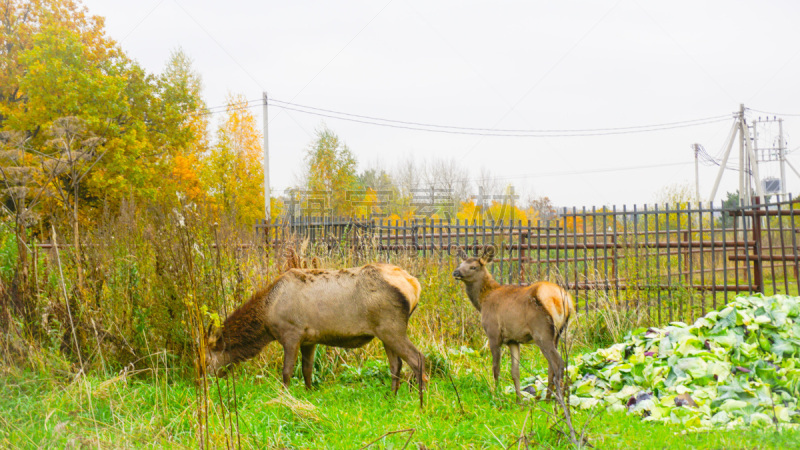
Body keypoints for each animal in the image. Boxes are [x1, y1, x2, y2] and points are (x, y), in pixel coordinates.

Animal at [209, 260, 428, 404]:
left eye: (206, 356)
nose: (206, 378)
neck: (267, 315)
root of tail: (414, 285)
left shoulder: (291, 333)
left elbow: (287, 372)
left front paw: (283, 397)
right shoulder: (309, 339)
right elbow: (307, 370)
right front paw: (308, 394)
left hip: (392, 327)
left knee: (417, 358)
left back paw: (421, 400)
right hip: (384, 331)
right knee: (396, 365)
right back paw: (391, 396)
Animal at [450, 246, 576, 400]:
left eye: (473, 267)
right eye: (461, 263)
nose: (456, 272)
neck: (482, 301)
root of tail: (562, 299)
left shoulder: (493, 333)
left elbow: (496, 368)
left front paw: (497, 394)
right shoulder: (513, 340)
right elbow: (515, 371)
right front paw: (518, 400)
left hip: (541, 332)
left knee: (558, 362)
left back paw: (558, 398)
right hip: (557, 334)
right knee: (551, 365)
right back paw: (548, 398)